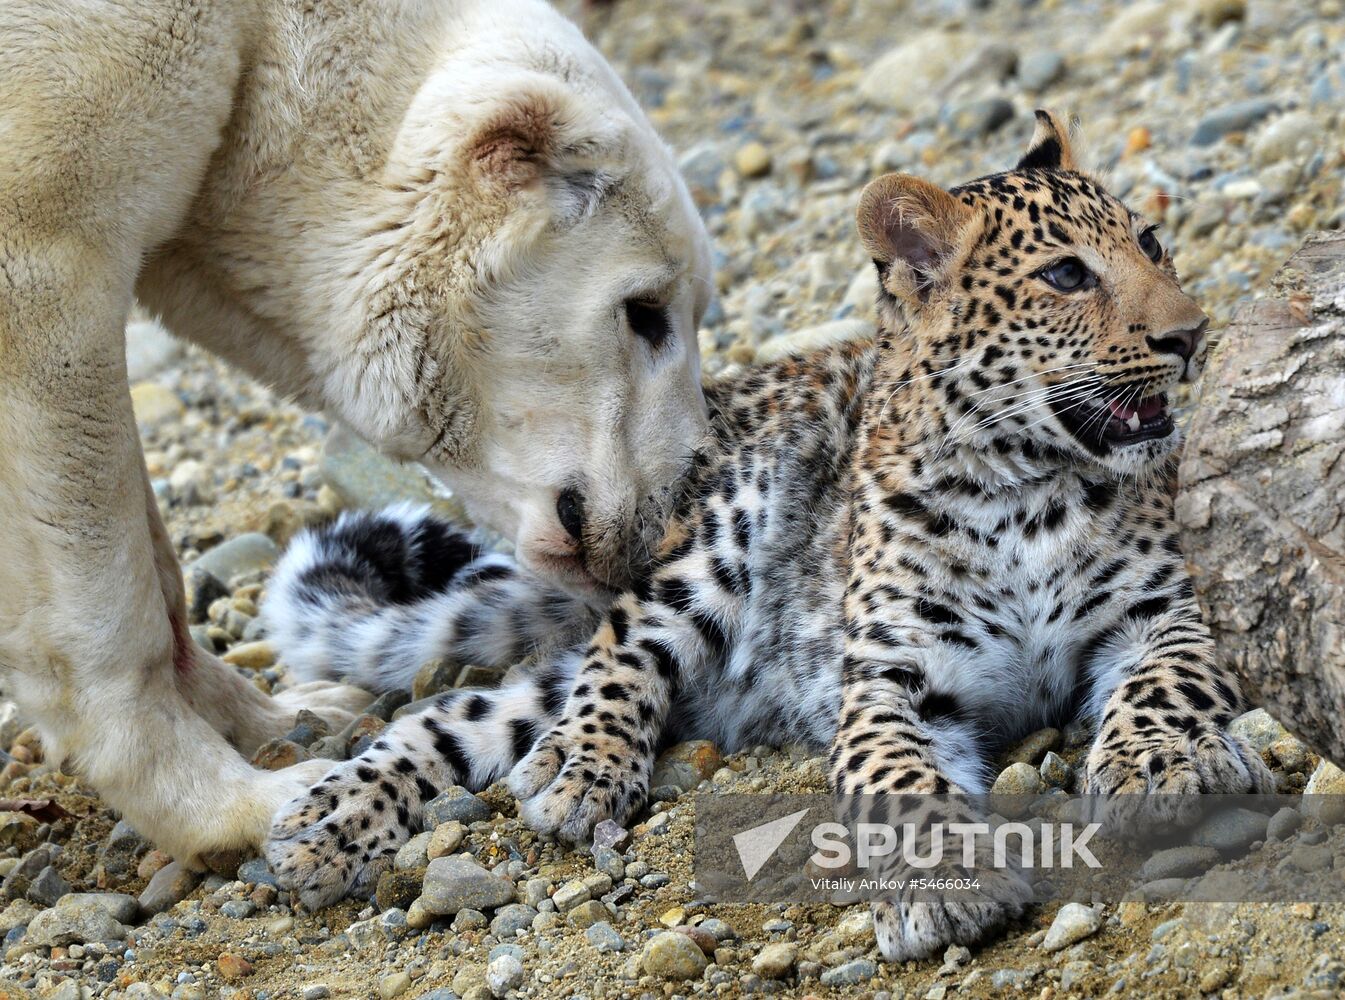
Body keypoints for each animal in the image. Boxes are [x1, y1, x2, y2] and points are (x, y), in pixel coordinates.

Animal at [0, 0, 715, 866]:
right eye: (642, 311)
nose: (675, 513)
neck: (264, 33)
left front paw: (287, 716)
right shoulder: (45, 179)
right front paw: (239, 801)